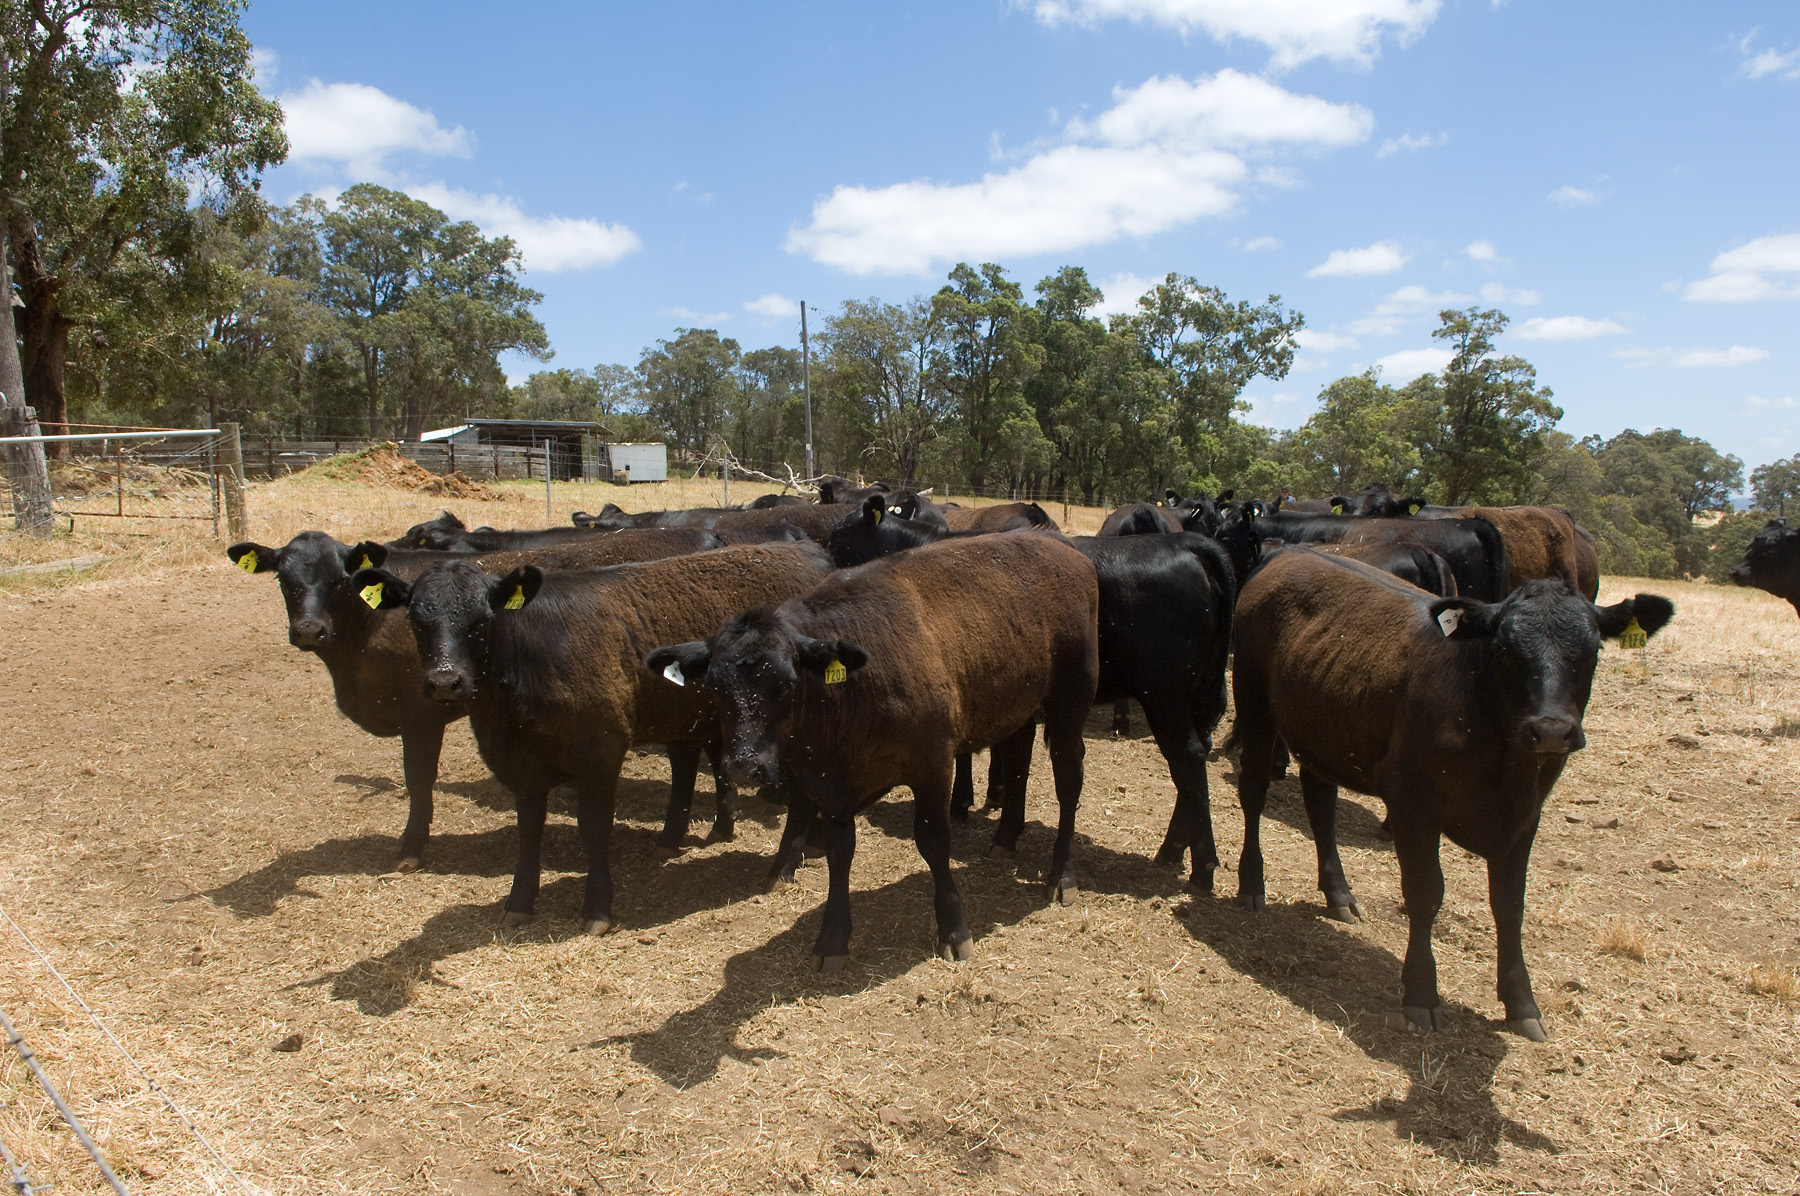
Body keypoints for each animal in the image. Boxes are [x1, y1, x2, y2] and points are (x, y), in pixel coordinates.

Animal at [225, 528, 734, 869]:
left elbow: (418, 781)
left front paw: (410, 848)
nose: (309, 630)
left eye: (338, 580)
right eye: (284, 580)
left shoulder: (420, 713)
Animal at [351, 543, 835, 933]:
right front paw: (519, 901)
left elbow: (594, 827)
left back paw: (802, 848)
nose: (445, 683)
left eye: (481, 619)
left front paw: (597, 908)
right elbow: (530, 830)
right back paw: (681, 836)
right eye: (416, 619)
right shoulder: (522, 760)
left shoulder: (601, 751)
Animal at [644, 534, 1100, 972]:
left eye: (786, 683)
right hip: (1018, 705)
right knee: (1019, 760)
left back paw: (1062, 876)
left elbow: (934, 842)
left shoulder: (934, 764)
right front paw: (832, 939)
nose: (743, 766)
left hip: (1071, 699)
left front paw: (953, 929)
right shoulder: (830, 785)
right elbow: (839, 853)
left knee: (1068, 784)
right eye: (715, 688)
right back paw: (1005, 839)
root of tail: (1065, 549)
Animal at [1229, 548, 1673, 1041]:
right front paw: (1421, 993)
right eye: (1505, 649)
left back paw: (1338, 893)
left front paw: (1522, 1003)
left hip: (1323, 730)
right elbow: (1425, 894)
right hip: (1255, 708)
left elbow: (1510, 905)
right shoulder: (1412, 805)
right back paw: (1251, 884)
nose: (1551, 730)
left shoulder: (1525, 817)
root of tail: (1290, 553)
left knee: (1320, 804)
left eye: (1593, 650)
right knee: (1253, 792)